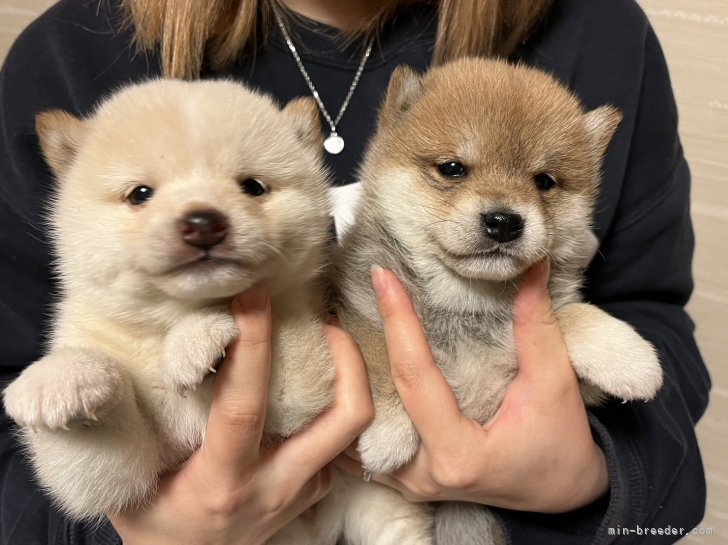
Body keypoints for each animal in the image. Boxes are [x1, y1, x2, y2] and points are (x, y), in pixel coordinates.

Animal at [2, 81, 332, 524]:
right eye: (140, 194)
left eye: (252, 187)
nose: (204, 223)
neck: (164, 325)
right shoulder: (119, 479)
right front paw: (62, 377)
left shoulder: (294, 398)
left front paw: (194, 338)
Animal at [332, 57, 664, 540]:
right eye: (453, 168)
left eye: (544, 181)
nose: (504, 221)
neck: (468, 303)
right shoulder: (356, 307)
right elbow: (376, 351)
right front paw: (389, 431)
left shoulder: (579, 394)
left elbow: (573, 314)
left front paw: (627, 358)